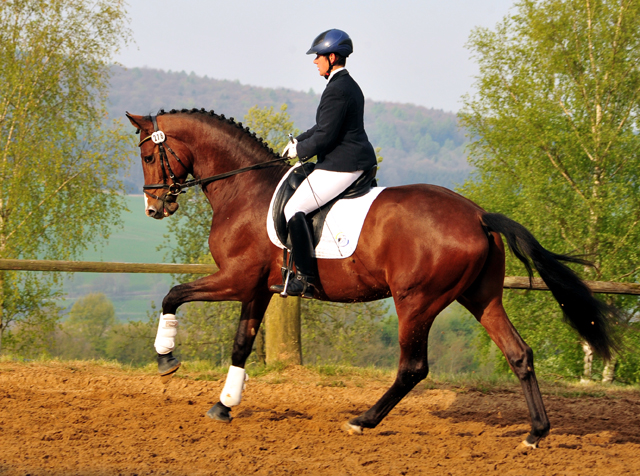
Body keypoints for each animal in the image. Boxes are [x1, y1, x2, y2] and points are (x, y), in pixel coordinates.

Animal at [124, 109, 616, 450]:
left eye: (149, 156)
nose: (153, 208)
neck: (244, 190)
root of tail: (478, 215)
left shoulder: (235, 279)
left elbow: (173, 295)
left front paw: (166, 360)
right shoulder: (258, 289)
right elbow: (242, 343)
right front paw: (224, 406)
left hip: (416, 301)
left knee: (413, 367)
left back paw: (362, 420)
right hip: (481, 298)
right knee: (519, 354)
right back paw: (535, 434)